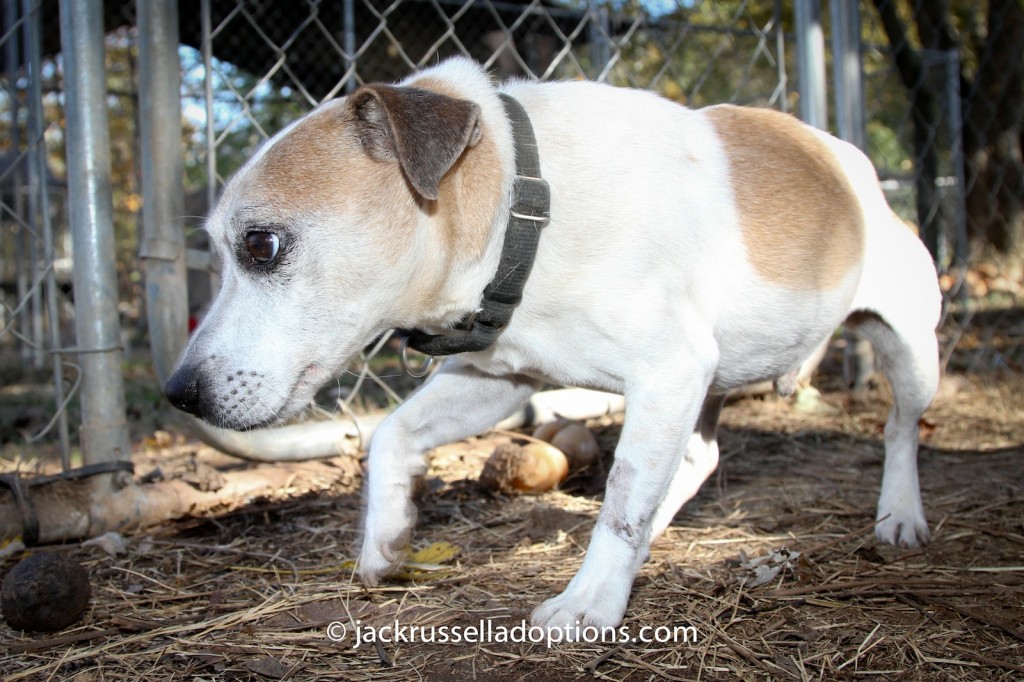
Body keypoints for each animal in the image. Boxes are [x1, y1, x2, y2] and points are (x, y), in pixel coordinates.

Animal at [163, 58, 937, 630]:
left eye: (260, 245)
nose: (179, 393)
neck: (524, 203)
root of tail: (856, 171)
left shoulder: (667, 372)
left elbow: (621, 498)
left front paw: (590, 602)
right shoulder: (499, 381)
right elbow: (390, 436)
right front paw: (387, 538)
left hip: (907, 353)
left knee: (900, 431)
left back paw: (900, 515)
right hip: (706, 386)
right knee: (698, 459)